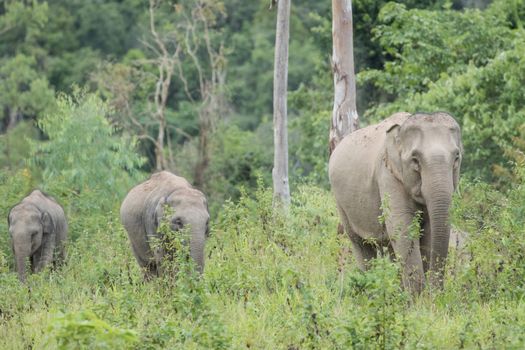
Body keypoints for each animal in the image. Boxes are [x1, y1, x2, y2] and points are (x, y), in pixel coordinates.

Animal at [330, 112, 460, 292]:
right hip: (341, 203)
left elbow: (429, 230)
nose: (436, 292)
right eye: (415, 160)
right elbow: (402, 227)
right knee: (361, 244)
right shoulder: (388, 175)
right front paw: (418, 297)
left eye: (456, 158)